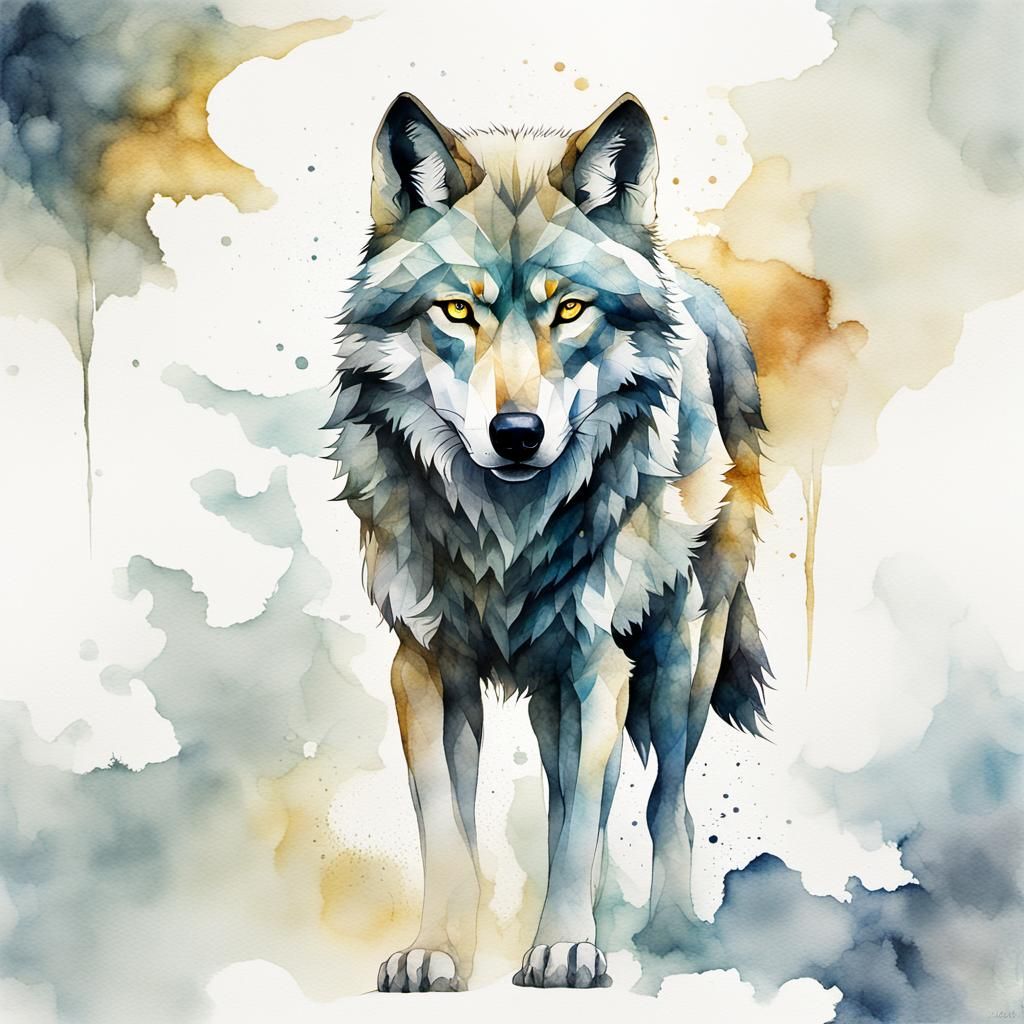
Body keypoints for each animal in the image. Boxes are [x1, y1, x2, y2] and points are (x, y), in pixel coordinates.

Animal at [326, 92, 770, 992]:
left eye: (569, 309)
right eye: (457, 310)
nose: (518, 433)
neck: (505, 531)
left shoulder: (600, 663)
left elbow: (583, 831)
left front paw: (565, 948)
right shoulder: (423, 667)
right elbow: (447, 828)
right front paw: (437, 952)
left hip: (676, 663)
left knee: (664, 801)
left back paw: (670, 931)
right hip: (554, 696)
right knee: (575, 797)